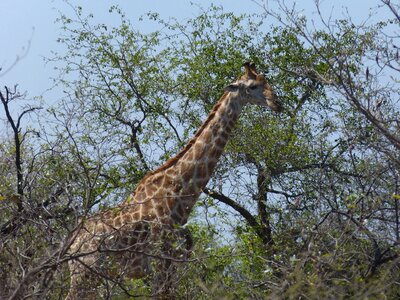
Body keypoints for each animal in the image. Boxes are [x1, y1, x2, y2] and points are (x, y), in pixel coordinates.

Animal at [65, 62, 282, 298]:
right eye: (252, 86)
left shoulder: (176, 266)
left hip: (97, 276)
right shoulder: (162, 264)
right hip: (84, 274)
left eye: (267, 81)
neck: (180, 194)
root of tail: (73, 243)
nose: (277, 103)